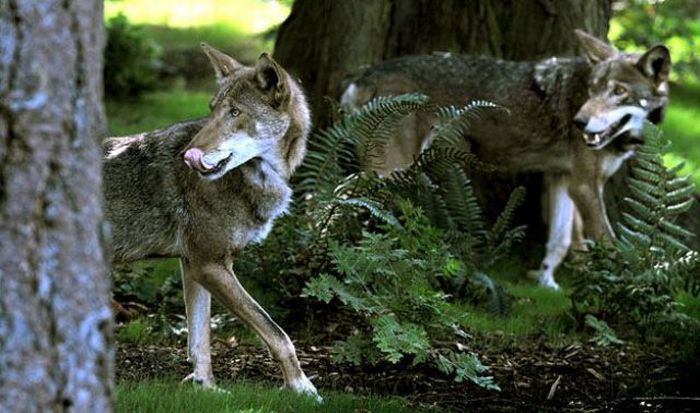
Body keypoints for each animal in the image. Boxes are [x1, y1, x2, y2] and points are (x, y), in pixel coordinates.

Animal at [103, 43, 320, 398]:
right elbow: (277, 333)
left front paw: (205, 388)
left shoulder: (194, 266)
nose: (186, 156)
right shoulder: (211, 265)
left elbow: (200, 340)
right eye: (212, 109)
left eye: (234, 112)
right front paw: (302, 388)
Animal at [342, 30, 668, 290]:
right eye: (592, 90)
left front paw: (547, 286)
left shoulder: (563, 180)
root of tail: (363, 76)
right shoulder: (586, 186)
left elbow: (561, 242)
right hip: (389, 171)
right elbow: (607, 244)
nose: (580, 122)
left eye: (618, 92)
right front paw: (624, 290)